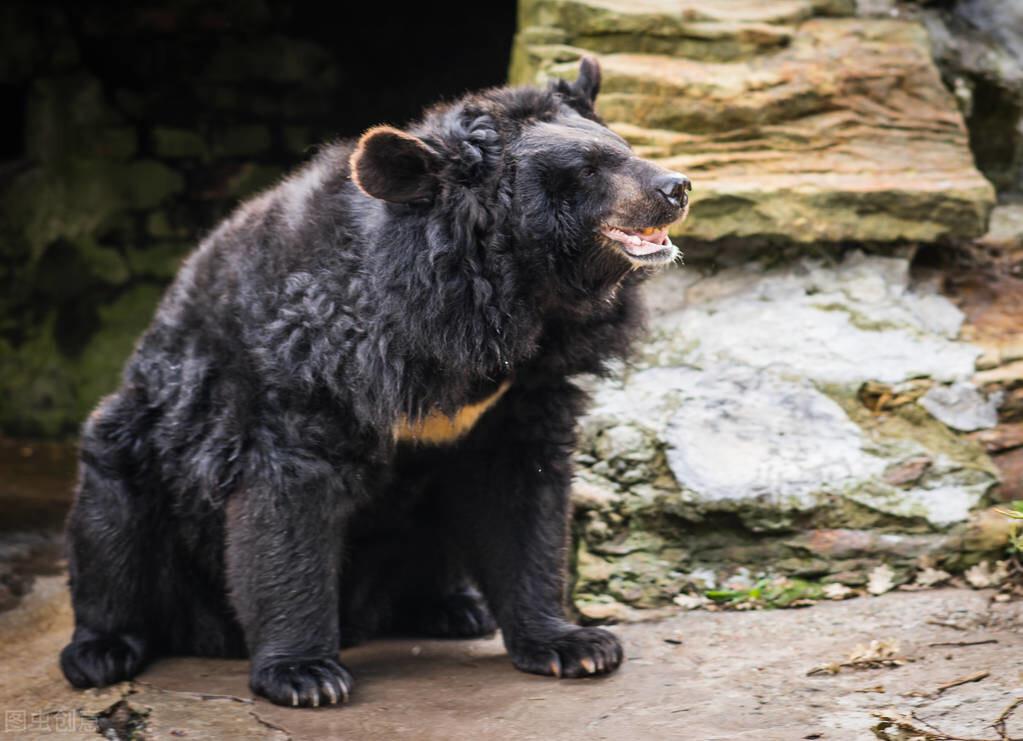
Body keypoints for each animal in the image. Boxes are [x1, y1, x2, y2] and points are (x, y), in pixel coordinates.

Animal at [59, 57, 691, 708]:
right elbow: (287, 498)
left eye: (625, 150)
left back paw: (454, 609)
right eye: (587, 170)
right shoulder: (306, 362)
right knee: (111, 531)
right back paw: (102, 651)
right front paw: (306, 676)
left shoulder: (520, 391)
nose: (677, 188)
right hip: (137, 448)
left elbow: (521, 495)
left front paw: (575, 646)